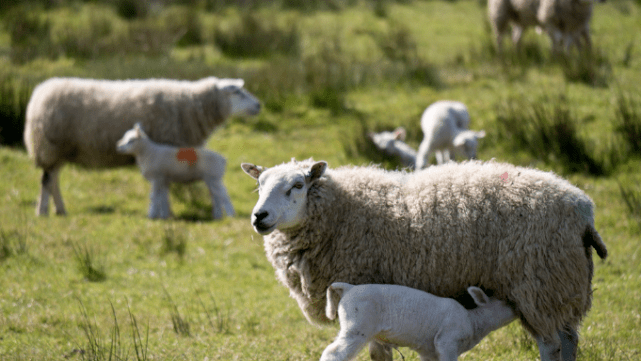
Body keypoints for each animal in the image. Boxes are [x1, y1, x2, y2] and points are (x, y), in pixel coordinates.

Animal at [24, 76, 260, 215]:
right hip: (50, 146)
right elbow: (164, 187)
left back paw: (60, 209)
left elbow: (164, 186)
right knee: (47, 180)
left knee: (53, 179)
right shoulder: (168, 145)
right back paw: (43, 211)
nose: (259, 105)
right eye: (237, 92)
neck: (194, 104)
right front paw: (165, 212)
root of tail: (39, 92)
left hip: (58, 150)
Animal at [320, 282, 516, 360]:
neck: (474, 321)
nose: (518, 308)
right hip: (356, 328)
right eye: (507, 301)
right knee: (333, 353)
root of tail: (348, 288)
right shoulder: (447, 341)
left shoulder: (430, 351)